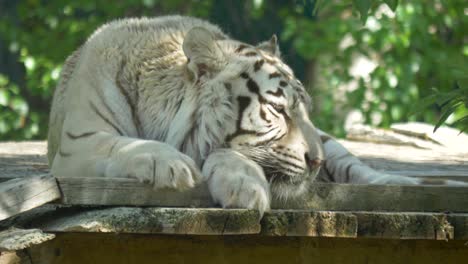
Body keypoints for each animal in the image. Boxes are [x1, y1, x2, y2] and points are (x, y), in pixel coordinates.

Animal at [49, 15, 456, 214]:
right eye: (278, 109)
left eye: (305, 111)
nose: (316, 163)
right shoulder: (77, 144)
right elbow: (123, 145)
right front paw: (171, 165)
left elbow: (226, 151)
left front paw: (245, 186)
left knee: (356, 168)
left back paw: (401, 185)